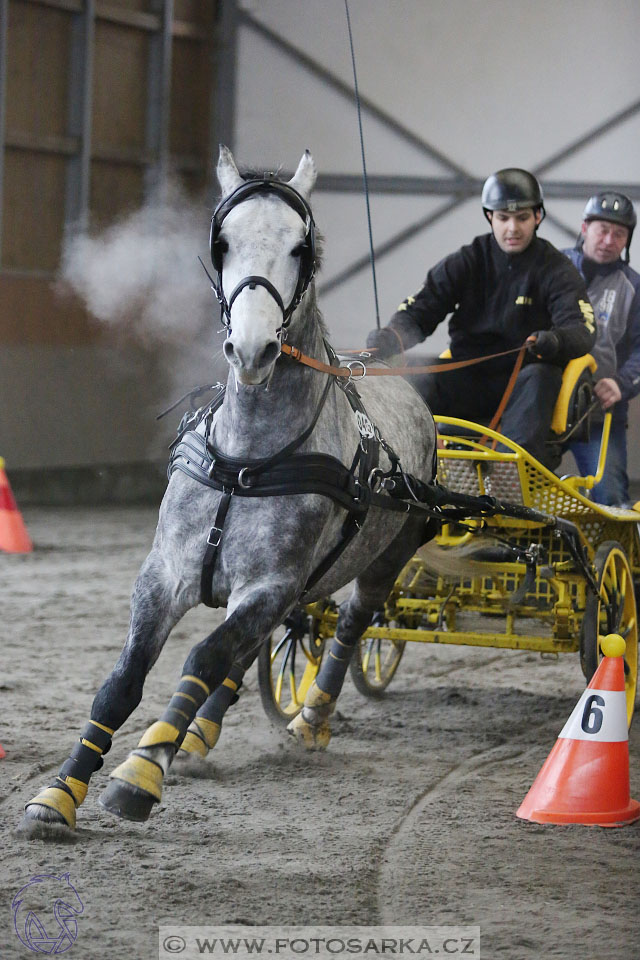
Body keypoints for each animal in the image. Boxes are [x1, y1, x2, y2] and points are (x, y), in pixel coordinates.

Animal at [22, 148, 438, 832]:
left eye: (302, 247)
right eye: (222, 244)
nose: (252, 349)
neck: (248, 460)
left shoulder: (269, 585)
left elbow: (202, 660)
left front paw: (139, 774)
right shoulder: (166, 573)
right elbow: (125, 679)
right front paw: (60, 792)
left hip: (385, 557)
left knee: (350, 626)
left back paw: (311, 720)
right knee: (254, 653)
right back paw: (196, 738)